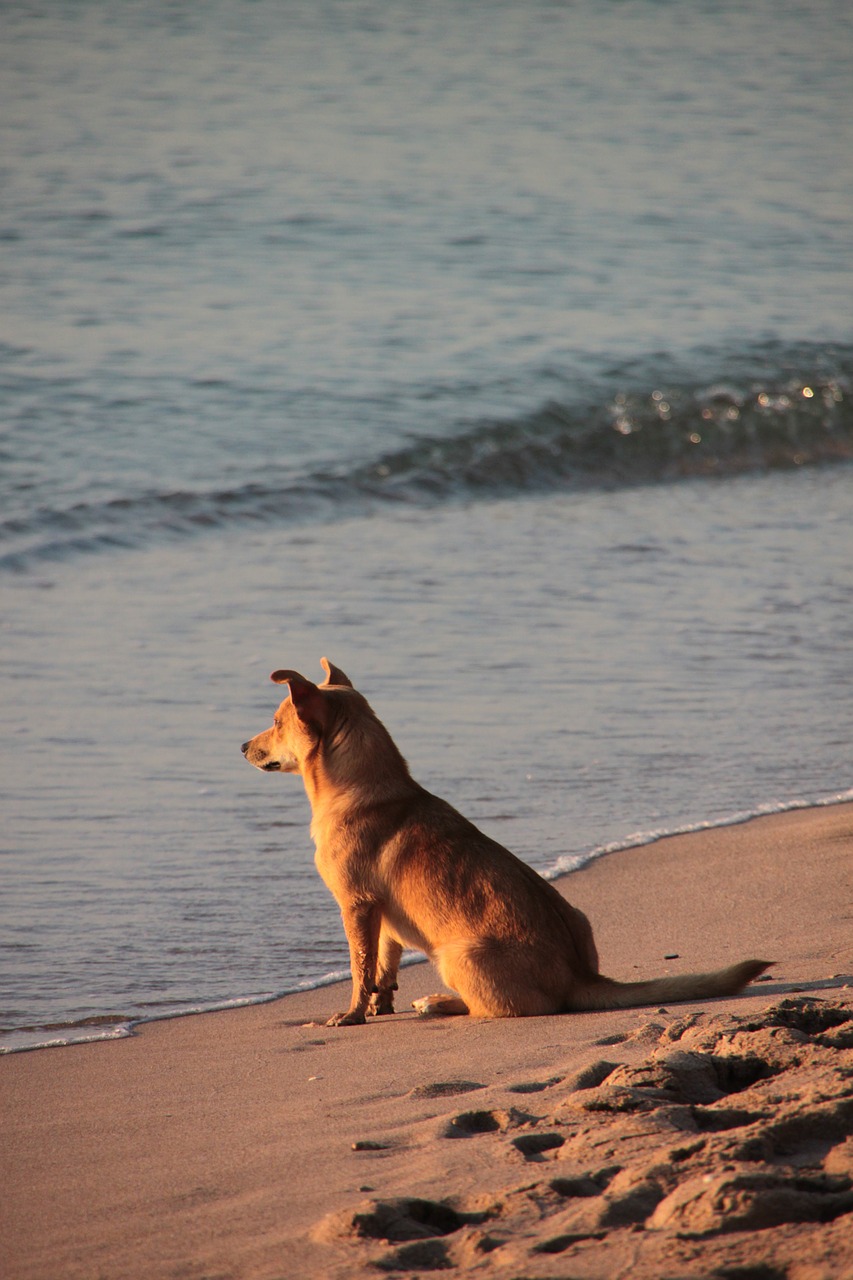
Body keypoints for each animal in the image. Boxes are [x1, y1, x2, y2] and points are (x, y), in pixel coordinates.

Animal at [240, 660, 768, 1029]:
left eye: (277, 722)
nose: (242, 746)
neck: (361, 786)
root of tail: (581, 978)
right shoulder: (380, 914)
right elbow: (383, 966)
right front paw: (379, 1005)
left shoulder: (356, 906)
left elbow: (359, 969)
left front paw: (351, 1014)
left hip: (456, 954)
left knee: (492, 1009)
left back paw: (438, 1002)